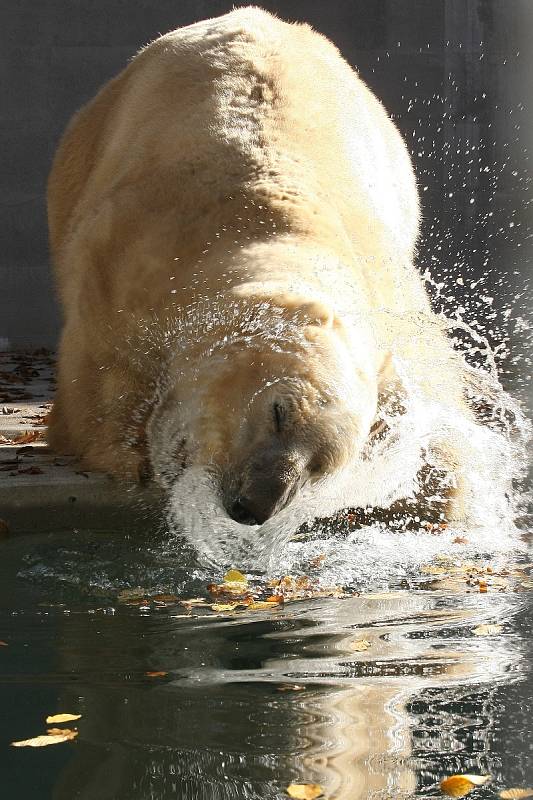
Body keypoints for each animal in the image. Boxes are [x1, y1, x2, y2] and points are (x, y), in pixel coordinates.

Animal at [47, 10, 472, 532]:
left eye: (322, 466)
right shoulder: (131, 250)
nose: (255, 505)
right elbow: (103, 359)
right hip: (84, 150)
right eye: (278, 411)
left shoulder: (389, 303)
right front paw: (129, 451)